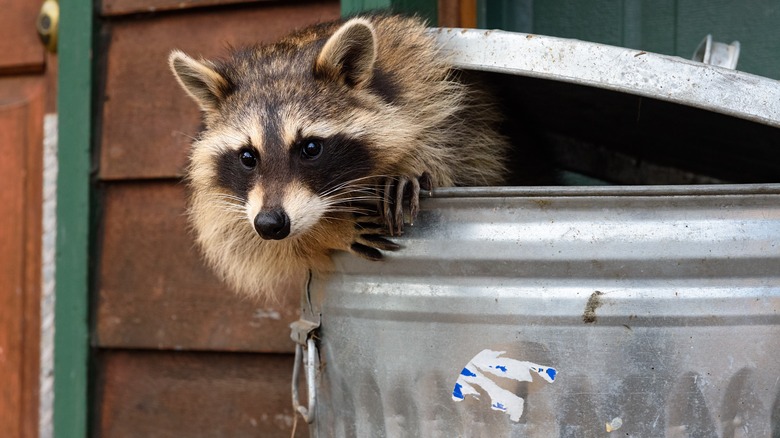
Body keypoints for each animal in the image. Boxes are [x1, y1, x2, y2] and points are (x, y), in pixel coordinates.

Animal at [171, 15, 512, 300]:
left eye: (310, 148)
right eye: (247, 157)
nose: (270, 223)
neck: (284, 59)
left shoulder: (430, 90)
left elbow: (457, 148)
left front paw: (411, 164)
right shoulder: (228, 202)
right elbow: (241, 239)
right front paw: (328, 231)